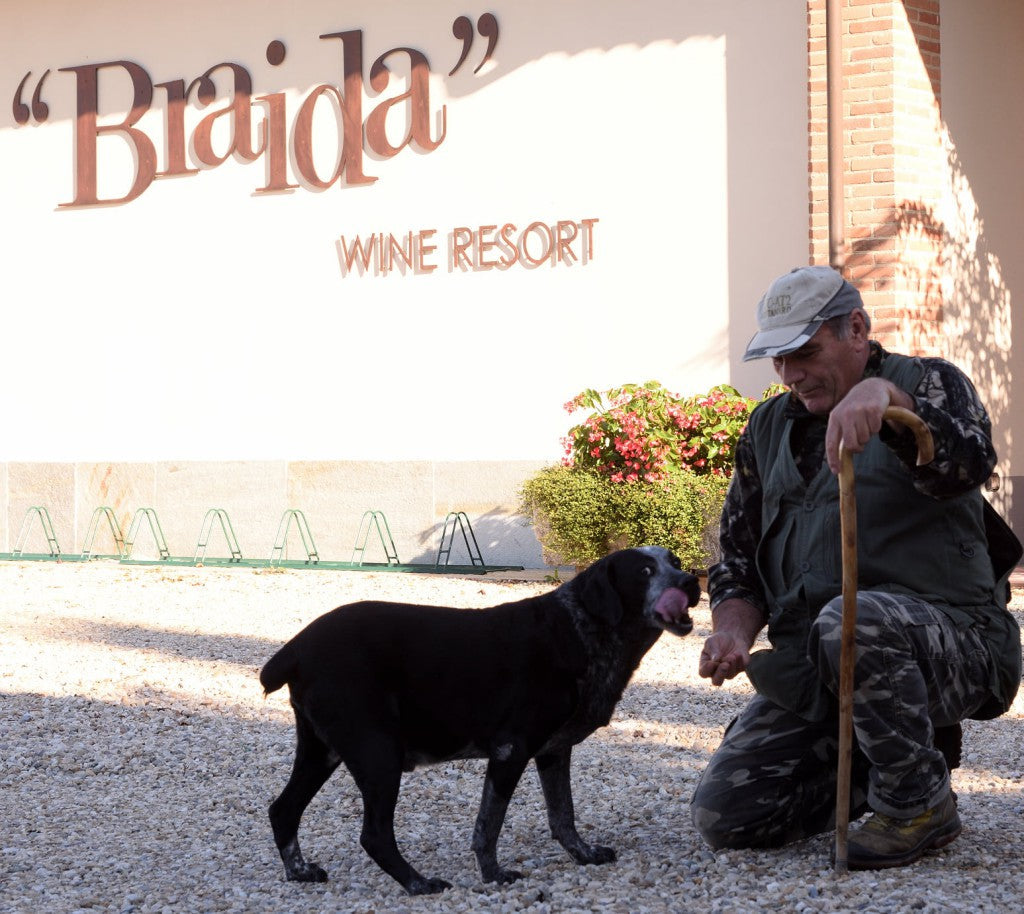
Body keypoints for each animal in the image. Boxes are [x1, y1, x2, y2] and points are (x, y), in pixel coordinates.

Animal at [260, 544, 700, 896]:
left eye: (675, 562)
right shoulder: (510, 751)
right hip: (377, 752)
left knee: (283, 810)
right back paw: (418, 884)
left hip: (323, 751)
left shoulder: (554, 752)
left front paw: (583, 854)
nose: (691, 581)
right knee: (374, 835)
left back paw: (299, 872)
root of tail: (296, 647)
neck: (579, 631)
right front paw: (493, 874)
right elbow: (489, 826)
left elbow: (563, 816)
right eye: (644, 572)